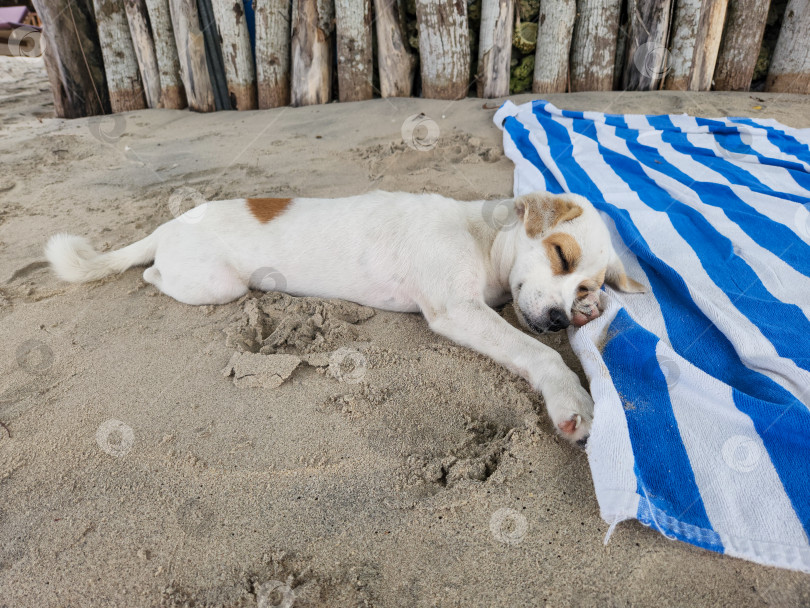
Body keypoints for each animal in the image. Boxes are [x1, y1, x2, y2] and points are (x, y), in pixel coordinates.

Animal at [45, 190, 644, 442]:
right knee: (150, 275)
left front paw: (591, 311)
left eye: (587, 282)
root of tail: (167, 227)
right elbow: (540, 356)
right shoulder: (457, 310)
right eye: (561, 255)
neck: (481, 235)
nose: (559, 319)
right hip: (216, 284)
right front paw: (571, 400)